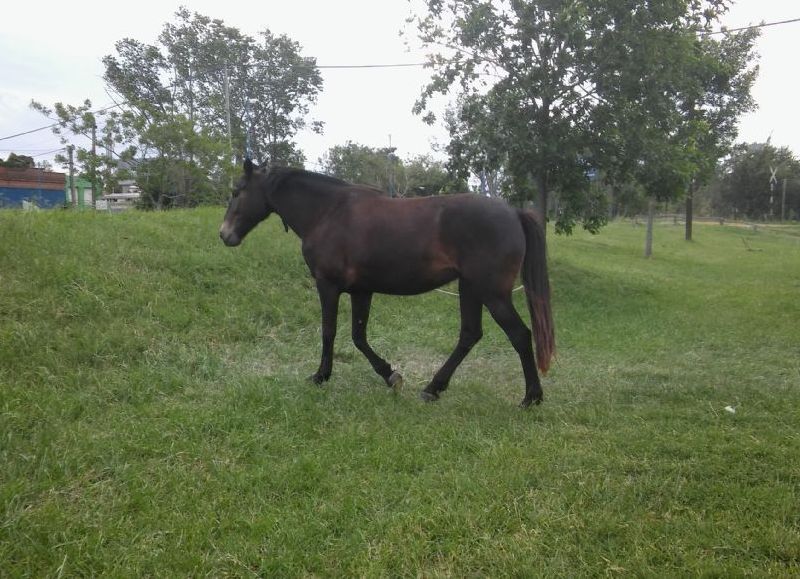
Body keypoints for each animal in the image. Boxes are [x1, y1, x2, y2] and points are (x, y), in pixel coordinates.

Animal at [219, 160, 556, 408]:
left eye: (237, 191)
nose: (224, 234)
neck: (328, 212)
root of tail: (513, 212)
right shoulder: (361, 291)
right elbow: (358, 337)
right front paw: (390, 375)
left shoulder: (328, 286)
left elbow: (329, 332)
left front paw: (321, 376)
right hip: (470, 288)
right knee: (470, 335)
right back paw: (433, 388)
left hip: (492, 293)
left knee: (520, 335)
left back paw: (531, 397)